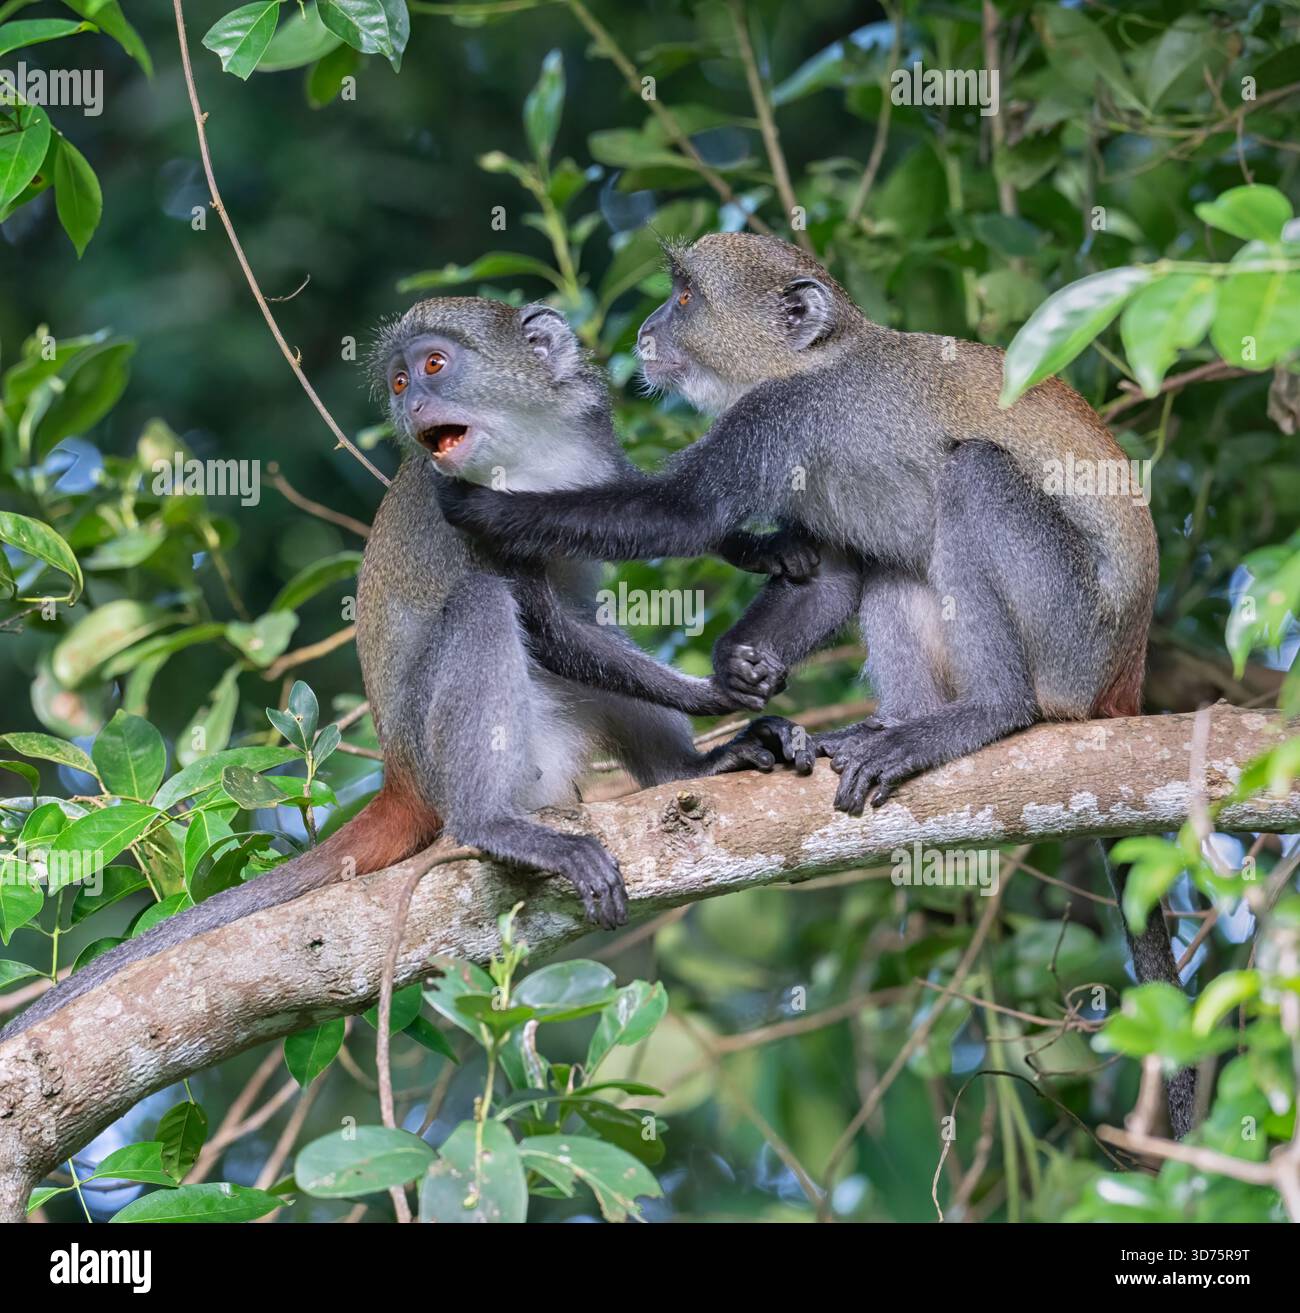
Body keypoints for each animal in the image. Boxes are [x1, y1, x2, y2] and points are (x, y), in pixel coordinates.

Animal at [2, 296, 796, 1041]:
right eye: (399, 381)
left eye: (434, 366)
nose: (412, 404)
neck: (531, 446)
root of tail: (401, 773)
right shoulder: (467, 512)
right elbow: (546, 622)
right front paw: (715, 691)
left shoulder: (594, 452)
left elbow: (613, 575)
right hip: (443, 741)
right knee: (483, 607)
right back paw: (492, 824)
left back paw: (689, 773)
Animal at [433, 234, 1196, 1136]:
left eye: (685, 297)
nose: (649, 330)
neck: (818, 356)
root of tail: (1124, 674)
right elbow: (831, 571)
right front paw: (740, 666)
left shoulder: (779, 417)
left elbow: (678, 511)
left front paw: (482, 508)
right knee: (898, 565)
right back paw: (893, 726)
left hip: (1070, 631)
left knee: (973, 476)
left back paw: (982, 713)